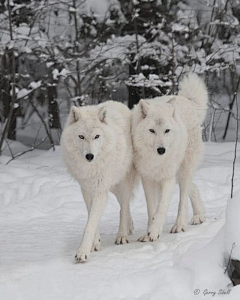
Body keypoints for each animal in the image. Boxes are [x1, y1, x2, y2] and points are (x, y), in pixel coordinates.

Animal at [61, 101, 135, 262]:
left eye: (97, 136)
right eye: (81, 136)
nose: (89, 156)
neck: (90, 168)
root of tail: (119, 104)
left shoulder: (100, 191)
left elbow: (91, 223)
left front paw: (82, 252)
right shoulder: (86, 190)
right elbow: (91, 216)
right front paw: (95, 243)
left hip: (122, 182)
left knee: (124, 205)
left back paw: (122, 235)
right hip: (112, 186)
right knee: (124, 204)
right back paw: (130, 226)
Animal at [131, 72, 208, 241]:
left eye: (167, 130)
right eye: (152, 130)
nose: (161, 150)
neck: (156, 161)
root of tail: (188, 101)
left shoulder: (167, 178)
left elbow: (162, 207)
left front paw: (154, 230)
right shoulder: (148, 179)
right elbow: (152, 209)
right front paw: (148, 232)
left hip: (183, 171)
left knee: (183, 198)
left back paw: (180, 225)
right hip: (177, 175)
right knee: (194, 187)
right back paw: (199, 216)